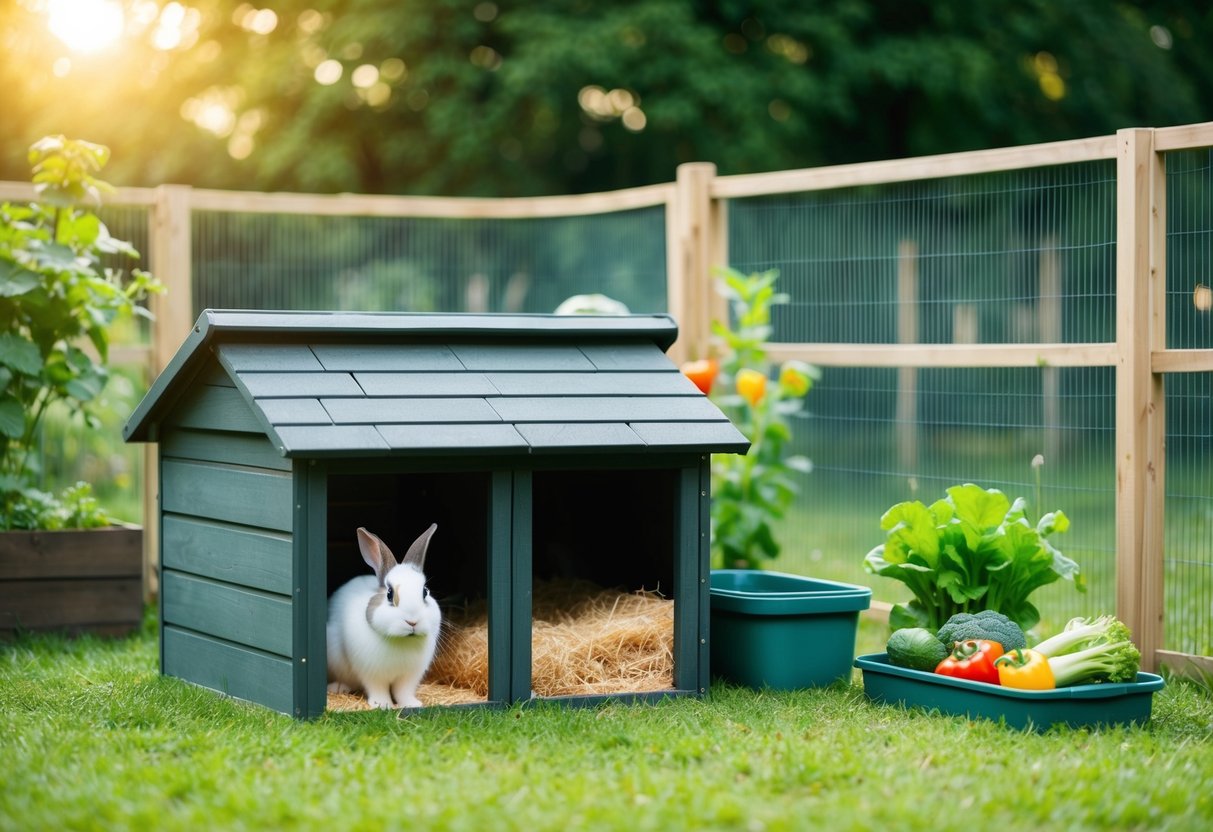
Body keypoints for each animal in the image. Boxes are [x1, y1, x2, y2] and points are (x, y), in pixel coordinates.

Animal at [327, 523, 441, 708]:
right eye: (389, 594)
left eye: (425, 592)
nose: (412, 622)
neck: (402, 641)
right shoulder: (371, 674)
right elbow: (378, 689)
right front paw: (382, 705)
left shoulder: (409, 677)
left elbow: (403, 692)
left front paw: (412, 704)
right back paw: (338, 688)